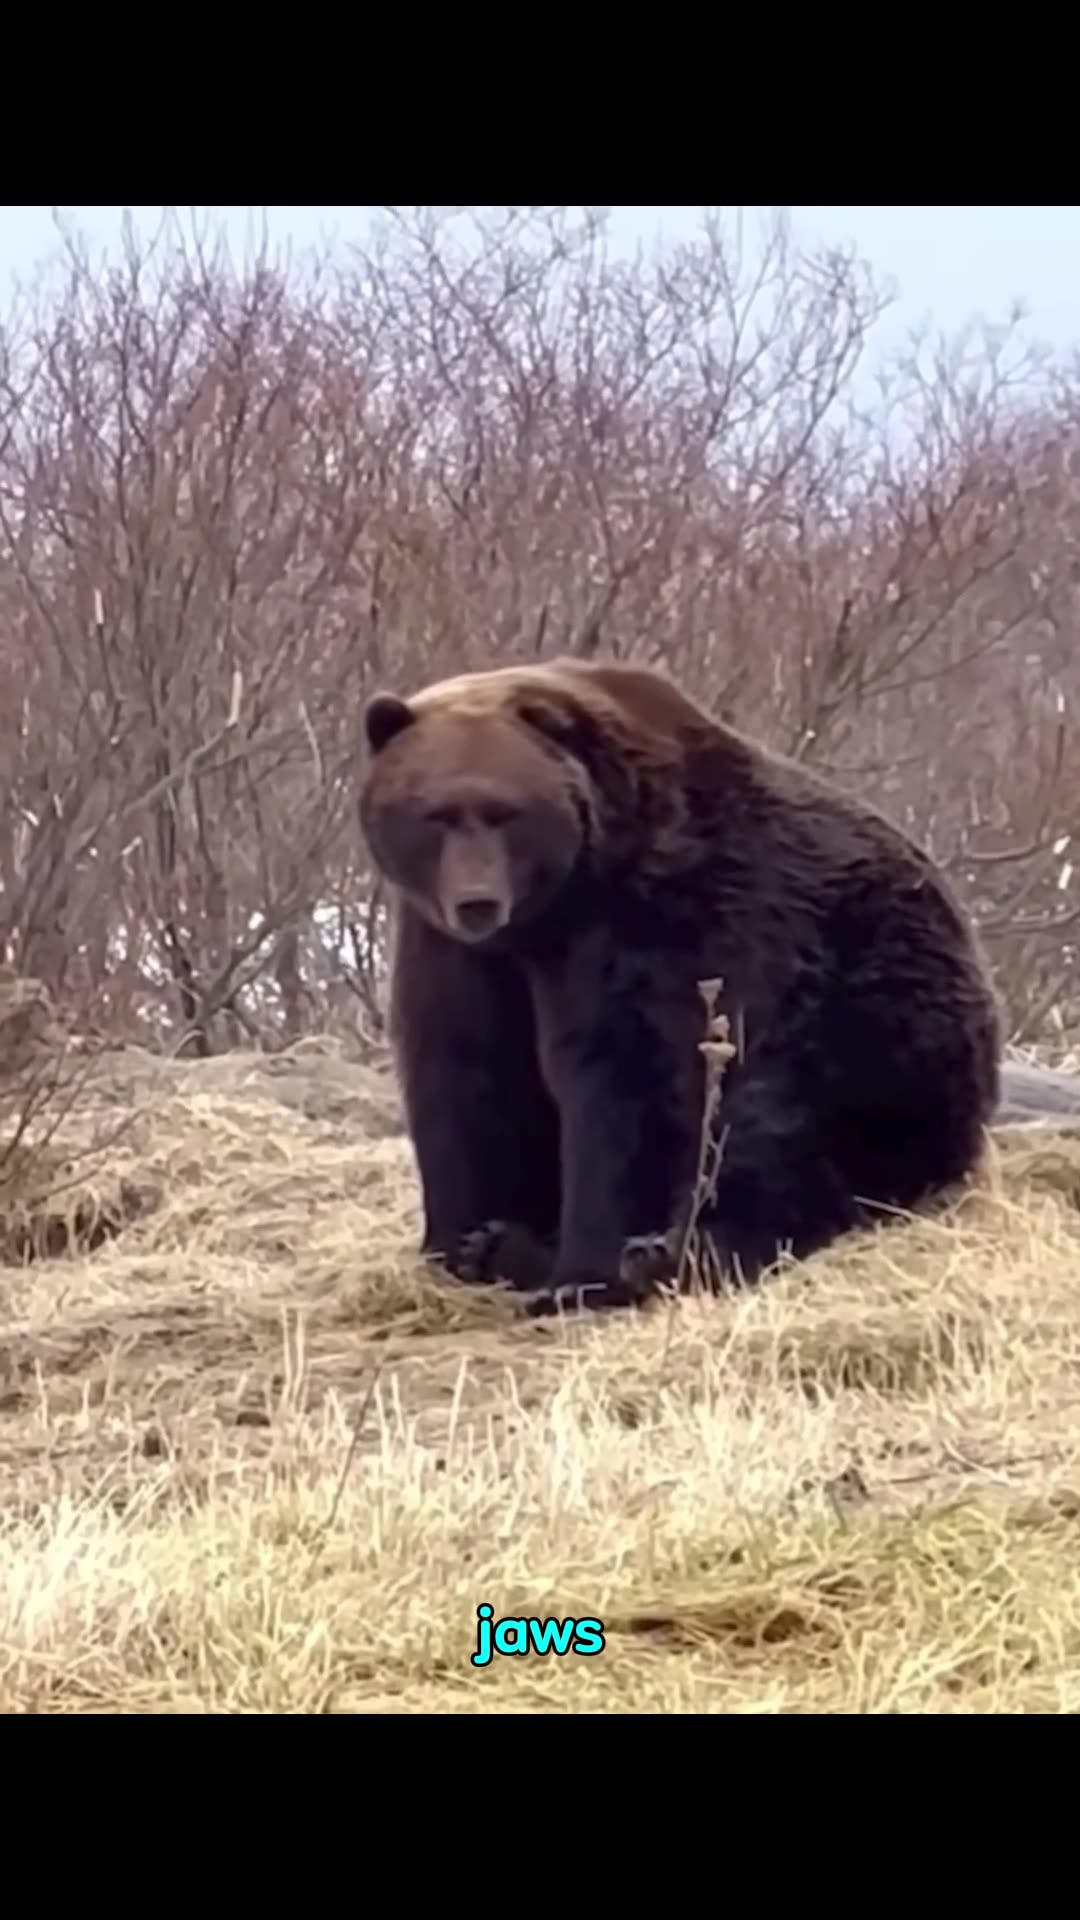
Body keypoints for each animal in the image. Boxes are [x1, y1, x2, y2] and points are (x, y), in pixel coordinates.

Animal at [358, 654, 1002, 1314]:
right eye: (435, 814)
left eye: (505, 812)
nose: (477, 901)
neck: (551, 916)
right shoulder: (456, 952)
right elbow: (466, 1069)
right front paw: (462, 1240)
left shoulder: (661, 926)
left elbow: (628, 1082)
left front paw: (581, 1275)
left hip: (871, 1015)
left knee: (777, 1131)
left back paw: (673, 1250)